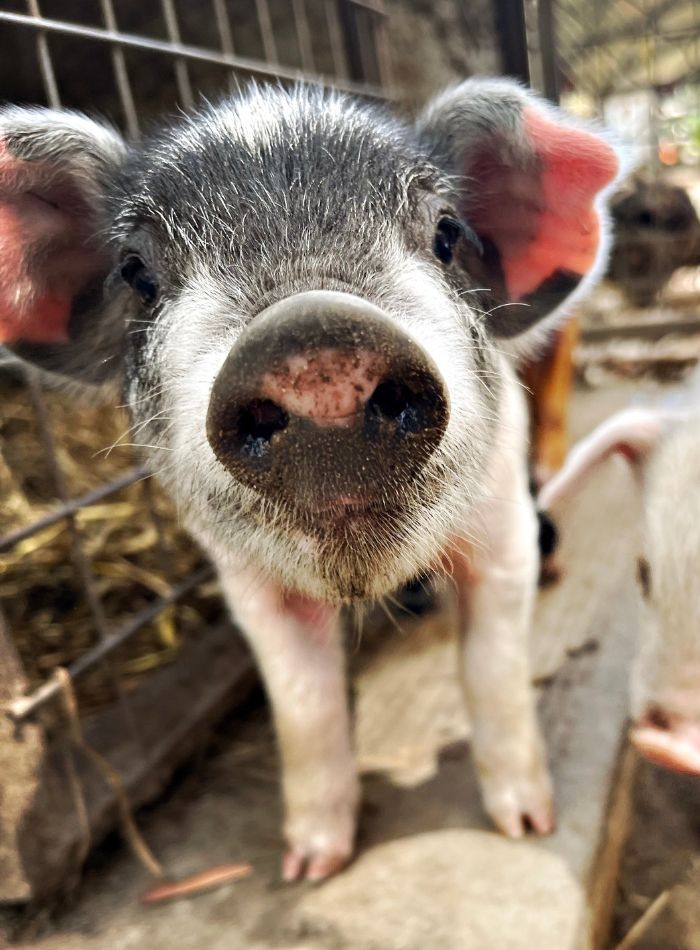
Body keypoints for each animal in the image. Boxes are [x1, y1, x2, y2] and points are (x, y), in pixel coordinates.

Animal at [0, 79, 621, 880]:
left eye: (447, 234)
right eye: (139, 275)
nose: (313, 333)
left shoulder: (500, 525)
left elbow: (494, 669)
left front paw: (526, 828)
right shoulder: (245, 578)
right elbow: (304, 704)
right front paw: (309, 866)